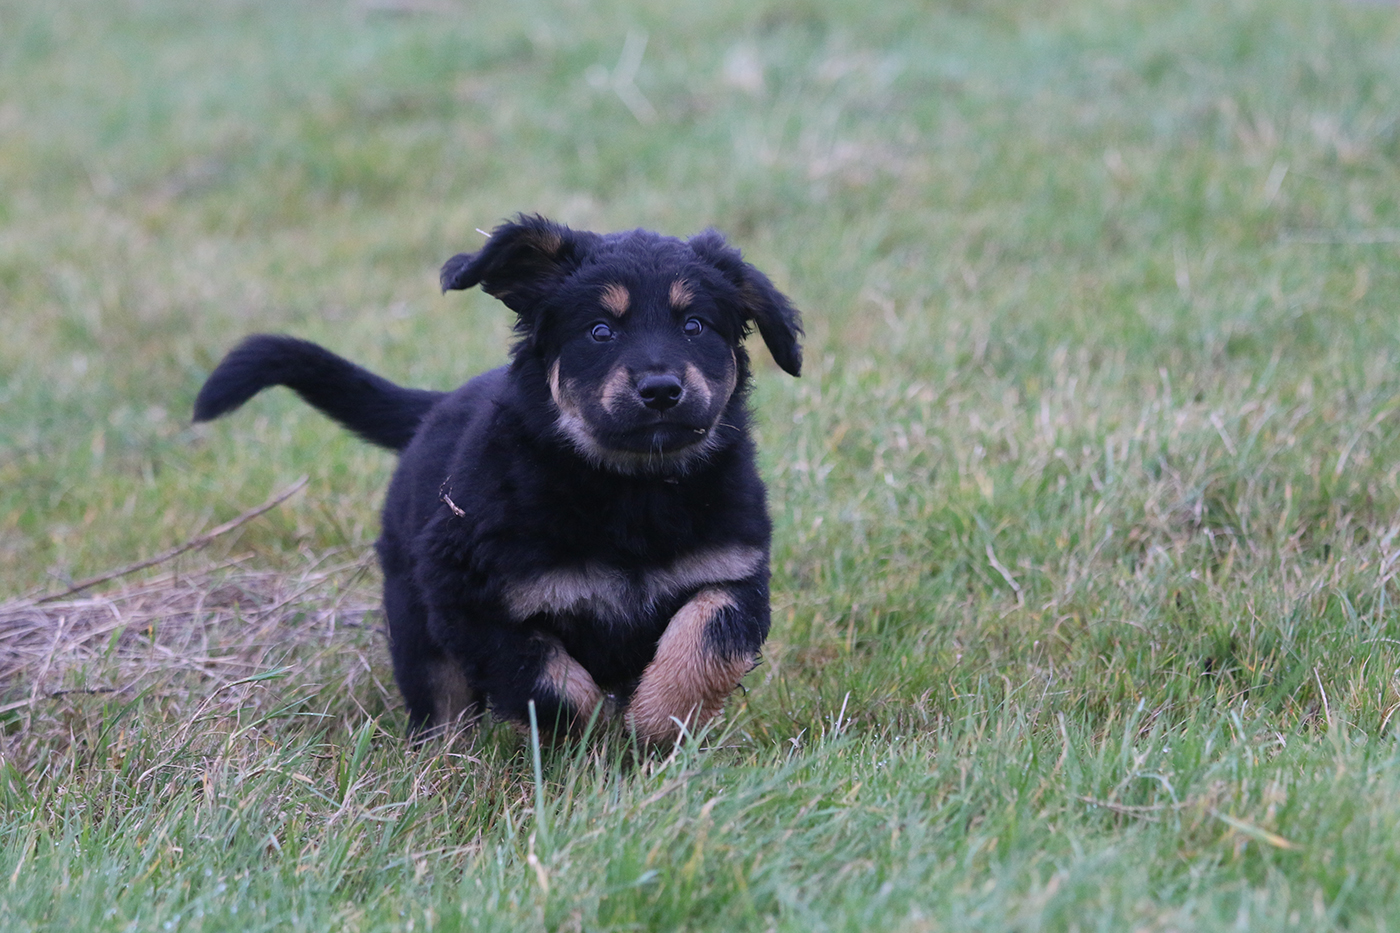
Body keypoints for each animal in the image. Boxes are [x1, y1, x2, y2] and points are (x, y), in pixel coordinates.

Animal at [193, 216, 802, 745]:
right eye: (600, 331)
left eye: (695, 325)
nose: (660, 390)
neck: (631, 486)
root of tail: (438, 405)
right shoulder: (465, 594)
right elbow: (547, 683)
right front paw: (590, 738)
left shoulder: (731, 574)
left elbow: (704, 646)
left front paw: (658, 722)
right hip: (412, 616)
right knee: (440, 699)